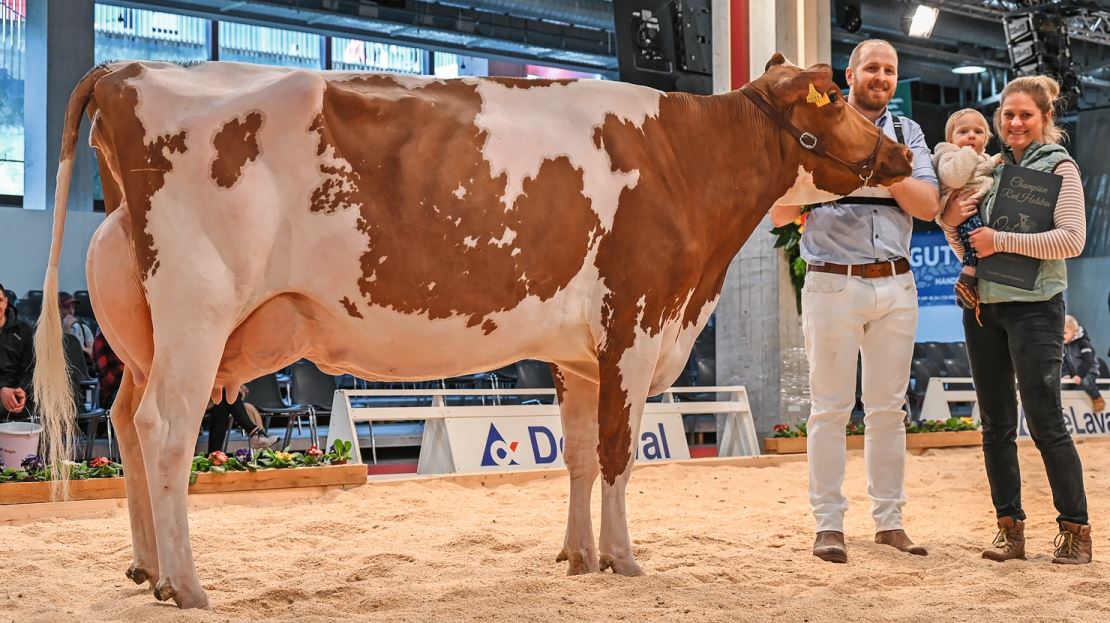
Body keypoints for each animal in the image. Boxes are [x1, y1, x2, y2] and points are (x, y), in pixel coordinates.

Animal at [34, 54, 910, 608]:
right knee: (166, 431)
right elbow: (619, 453)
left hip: (146, 328)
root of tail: (127, 71)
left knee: (126, 424)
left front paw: (578, 556)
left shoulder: (578, 353)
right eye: (837, 98)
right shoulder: (633, 324)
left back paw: (145, 568)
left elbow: (579, 455)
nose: (901, 152)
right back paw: (184, 584)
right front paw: (626, 559)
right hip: (197, 308)